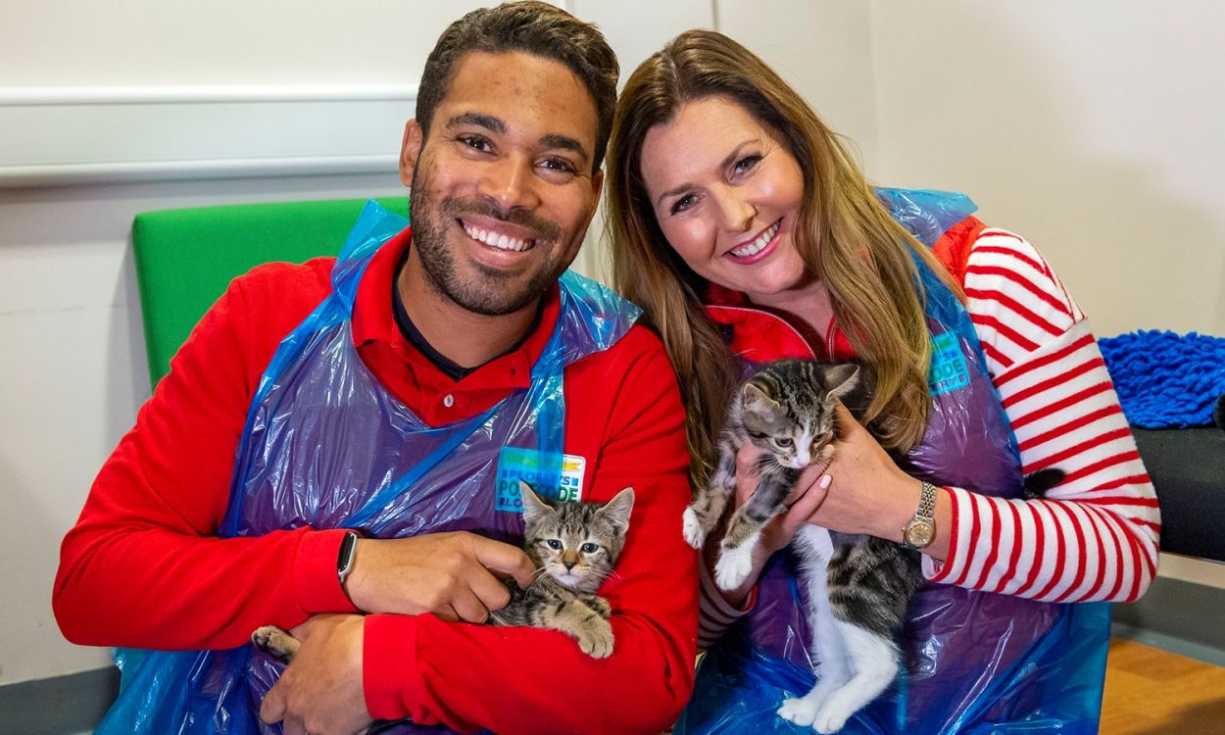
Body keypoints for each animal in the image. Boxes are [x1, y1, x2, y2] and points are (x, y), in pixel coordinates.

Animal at [248, 482, 632, 661]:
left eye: (589, 547)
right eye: (553, 543)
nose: (568, 563)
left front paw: (597, 602)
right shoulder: (517, 601)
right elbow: (560, 607)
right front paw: (595, 627)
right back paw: (276, 638)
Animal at [681, 357, 921, 730]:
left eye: (820, 437)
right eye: (784, 441)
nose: (807, 461)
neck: (755, 442)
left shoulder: (783, 477)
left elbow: (752, 509)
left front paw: (732, 561)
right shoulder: (733, 449)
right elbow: (718, 486)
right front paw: (697, 520)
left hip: (854, 581)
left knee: (882, 663)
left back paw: (833, 712)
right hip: (822, 600)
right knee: (839, 657)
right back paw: (810, 707)